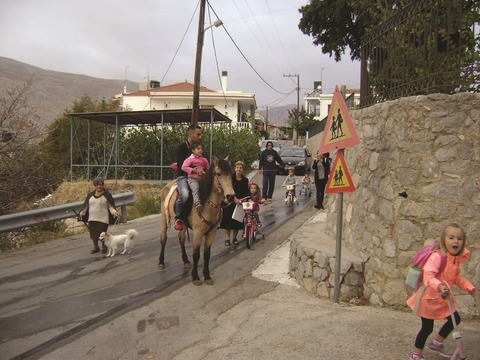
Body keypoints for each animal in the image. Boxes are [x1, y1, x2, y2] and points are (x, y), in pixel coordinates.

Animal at [158, 156, 235, 286]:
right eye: (218, 173)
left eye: (231, 174)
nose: (230, 196)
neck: (207, 204)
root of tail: (166, 186)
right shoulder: (198, 232)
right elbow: (196, 254)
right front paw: (195, 277)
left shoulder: (212, 232)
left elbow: (206, 254)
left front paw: (207, 276)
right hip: (164, 217)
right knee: (163, 239)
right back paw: (161, 262)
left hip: (183, 224)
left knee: (181, 238)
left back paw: (185, 261)